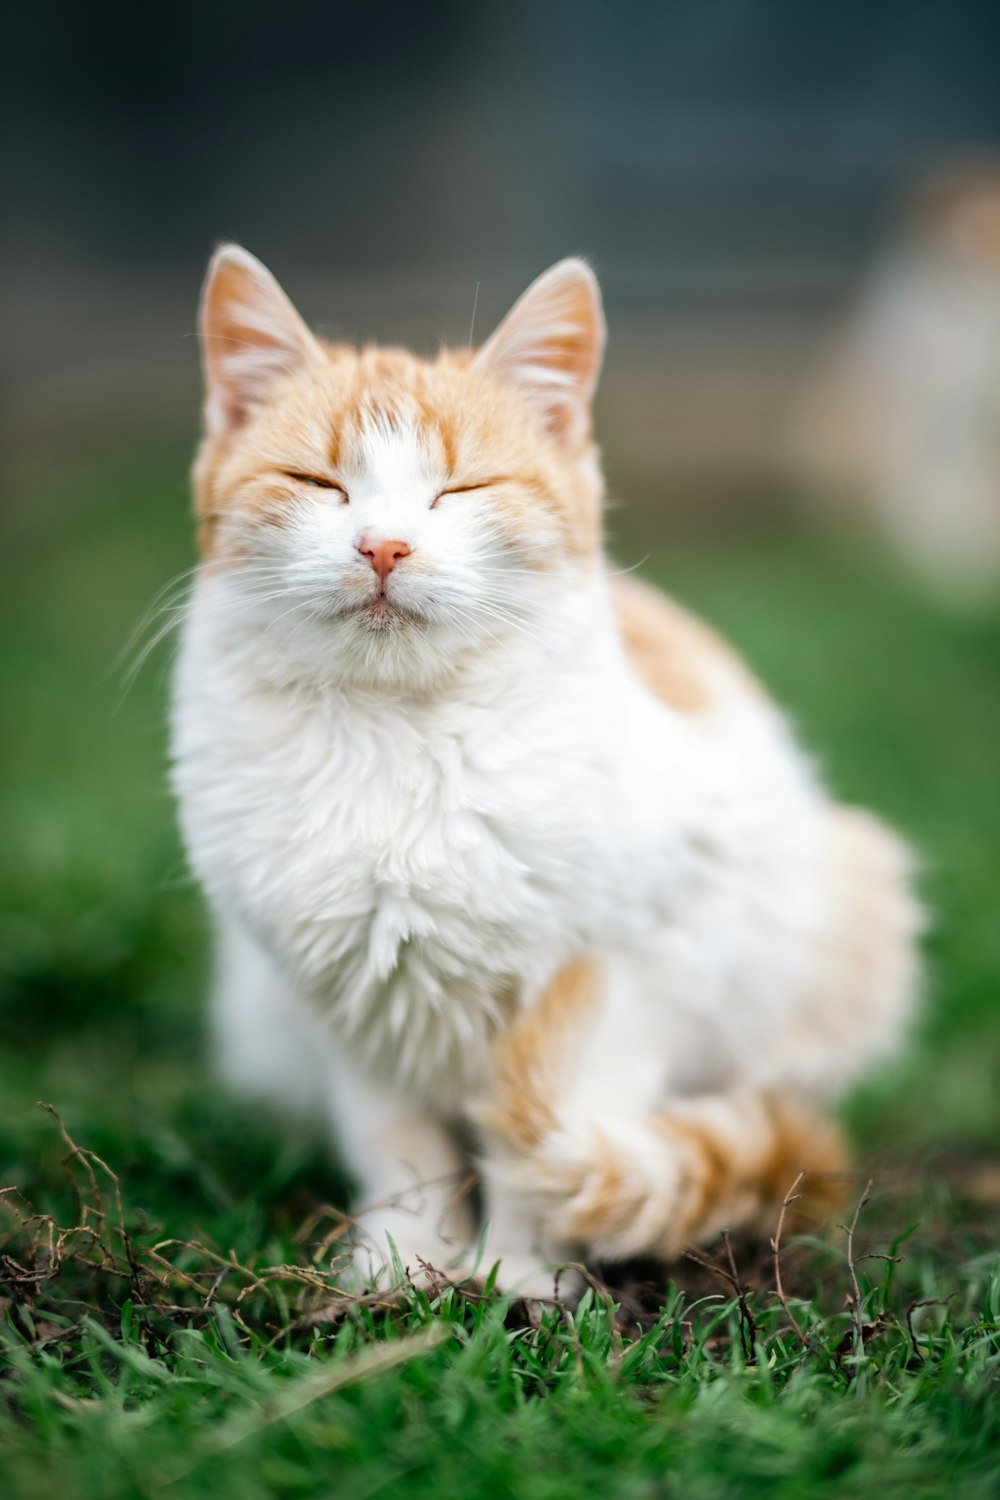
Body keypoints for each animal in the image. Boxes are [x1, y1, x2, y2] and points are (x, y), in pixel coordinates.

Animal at [170, 246, 923, 1302]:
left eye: (460, 491)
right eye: (317, 482)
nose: (383, 545)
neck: (402, 739)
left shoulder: (639, 976)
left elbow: (538, 1148)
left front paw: (519, 1277)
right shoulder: (346, 1003)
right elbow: (399, 1151)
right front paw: (401, 1270)